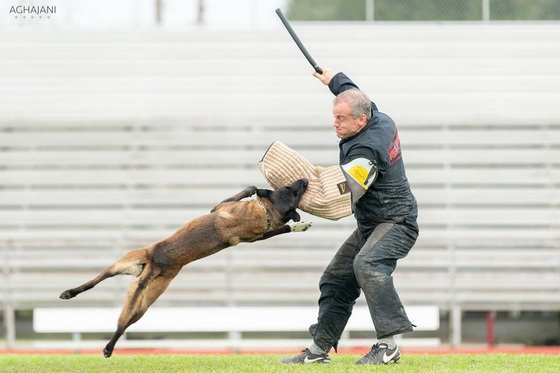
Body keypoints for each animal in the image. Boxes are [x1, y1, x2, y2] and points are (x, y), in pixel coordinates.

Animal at [61, 179, 310, 356]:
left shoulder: (249, 229)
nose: (305, 180)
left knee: (119, 317)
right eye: (291, 189)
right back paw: (71, 296)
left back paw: (105, 344)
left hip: (141, 301)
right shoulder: (225, 210)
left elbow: (280, 225)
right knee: (95, 282)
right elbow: (253, 193)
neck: (265, 211)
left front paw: (295, 224)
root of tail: (152, 262)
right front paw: (261, 193)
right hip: (126, 266)